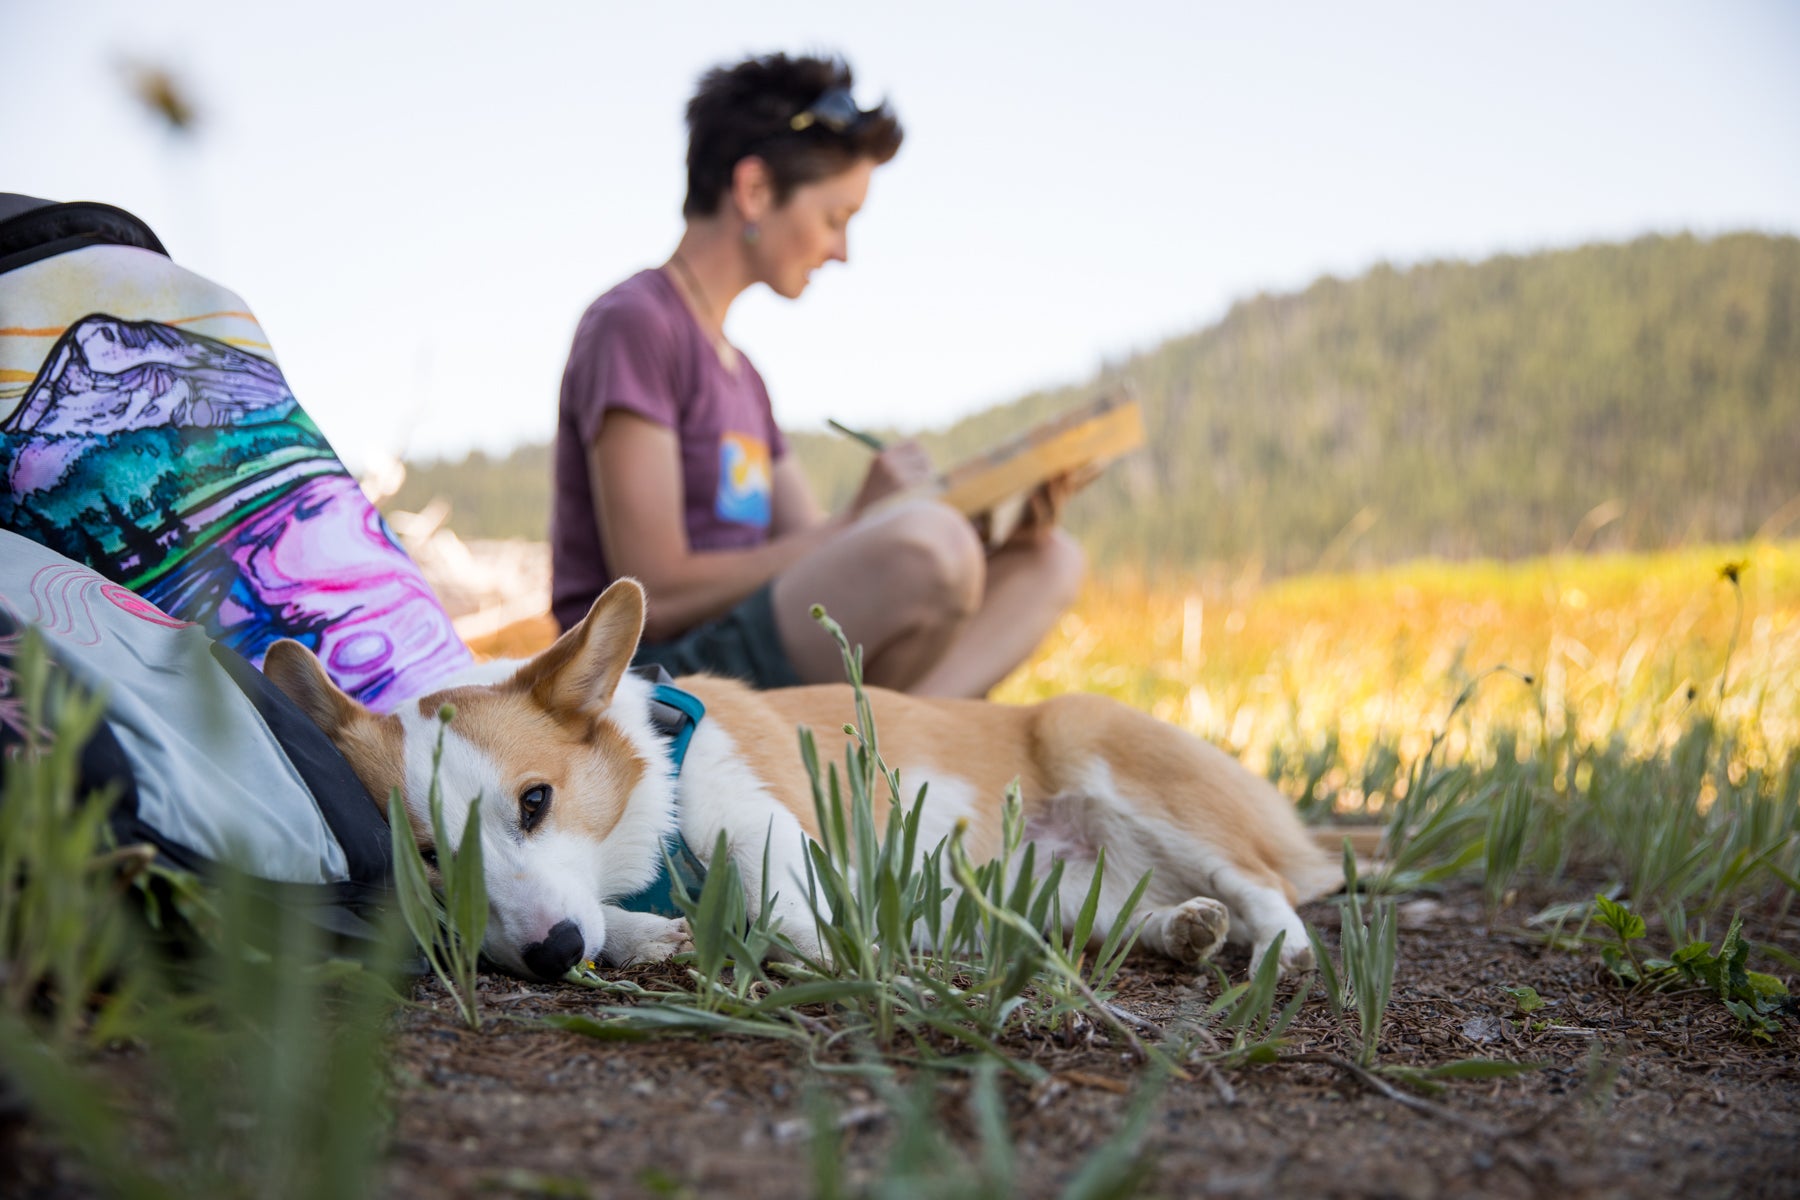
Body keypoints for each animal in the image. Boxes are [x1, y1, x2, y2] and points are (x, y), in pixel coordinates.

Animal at [262, 582, 1339, 985]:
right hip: (1051, 894)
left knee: (1262, 883)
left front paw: (831, 945)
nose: (555, 955)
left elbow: (780, 905)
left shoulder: (762, 822)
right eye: (424, 856)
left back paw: (1276, 948)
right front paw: (643, 937)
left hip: (1102, 751)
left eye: (536, 801)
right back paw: (1180, 930)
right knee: (1132, 916)